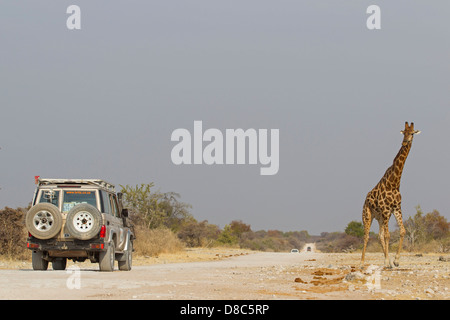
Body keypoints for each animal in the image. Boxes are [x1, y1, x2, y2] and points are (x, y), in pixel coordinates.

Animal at [360, 122, 420, 268]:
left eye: (412, 133)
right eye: (404, 132)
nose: (405, 142)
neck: (394, 183)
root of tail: (364, 200)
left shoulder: (396, 208)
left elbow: (402, 231)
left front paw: (395, 260)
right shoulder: (387, 209)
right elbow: (388, 236)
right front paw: (390, 261)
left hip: (380, 217)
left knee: (379, 235)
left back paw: (386, 261)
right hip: (367, 215)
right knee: (366, 236)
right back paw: (362, 262)